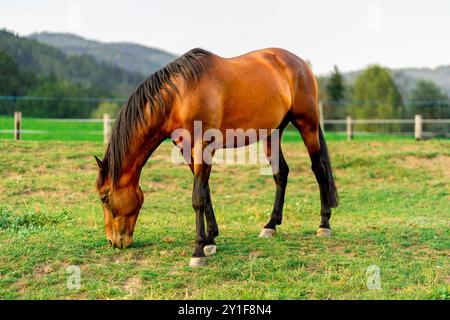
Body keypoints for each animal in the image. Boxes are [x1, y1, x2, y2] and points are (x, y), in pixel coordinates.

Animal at [94, 47, 338, 266]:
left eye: (104, 198)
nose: (114, 242)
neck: (180, 96)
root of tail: (299, 63)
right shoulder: (188, 151)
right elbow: (205, 193)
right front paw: (210, 239)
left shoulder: (203, 147)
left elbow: (197, 198)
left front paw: (197, 251)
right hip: (273, 133)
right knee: (281, 174)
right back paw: (270, 225)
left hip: (307, 125)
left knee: (319, 169)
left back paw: (324, 224)